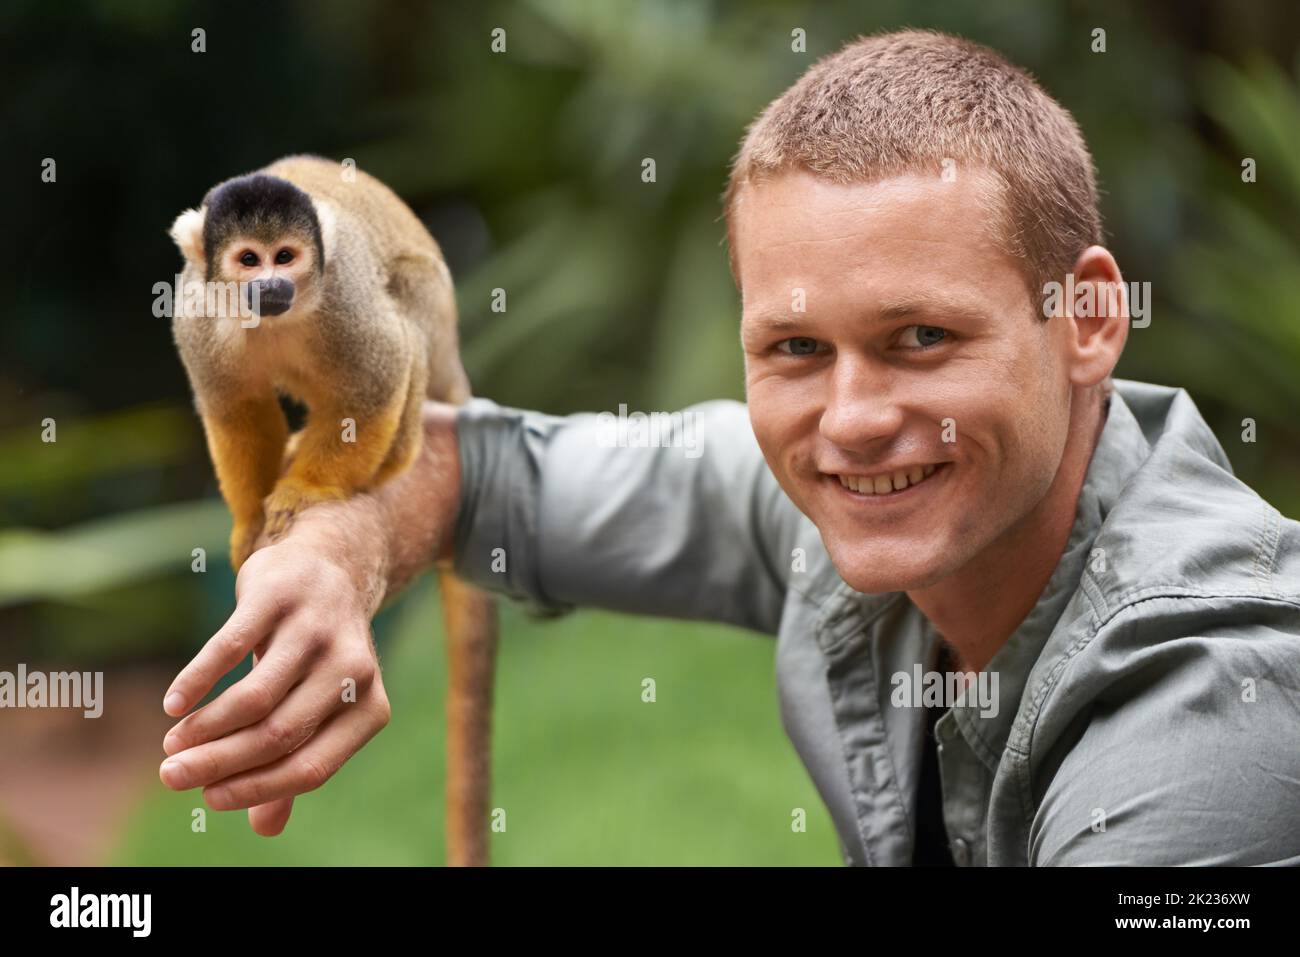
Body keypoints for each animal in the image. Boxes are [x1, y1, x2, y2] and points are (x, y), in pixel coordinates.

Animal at [166, 157, 496, 868]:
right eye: (248, 259)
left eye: (285, 257)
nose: (271, 285)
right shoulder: (195, 316)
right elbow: (235, 412)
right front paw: (248, 522)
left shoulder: (344, 301)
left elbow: (374, 380)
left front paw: (307, 492)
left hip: (433, 325)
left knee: (404, 317)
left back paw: (387, 464)